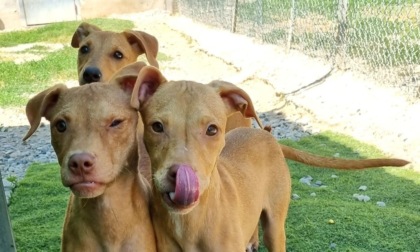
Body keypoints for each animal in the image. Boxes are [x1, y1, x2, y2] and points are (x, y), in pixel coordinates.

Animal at [130, 66, 406, 251]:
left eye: (212, 129)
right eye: (156, 126)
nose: (180, 176)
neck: (189, 223)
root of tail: (267, 137)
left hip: (275, 225)